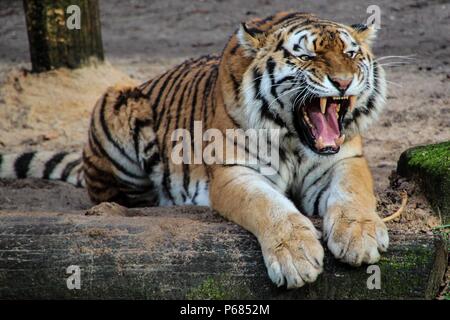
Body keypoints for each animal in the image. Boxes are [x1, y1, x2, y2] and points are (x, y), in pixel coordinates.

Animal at [0, 11, 388, 288]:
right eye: (306, 56)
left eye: (351, 54)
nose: (343, 82)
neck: (293, 139)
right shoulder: (235, 172)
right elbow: (270, 207)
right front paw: (296, 256)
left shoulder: (344, 159)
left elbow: (353, 193)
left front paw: (360, 236)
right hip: (117, 99)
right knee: (115, 196)